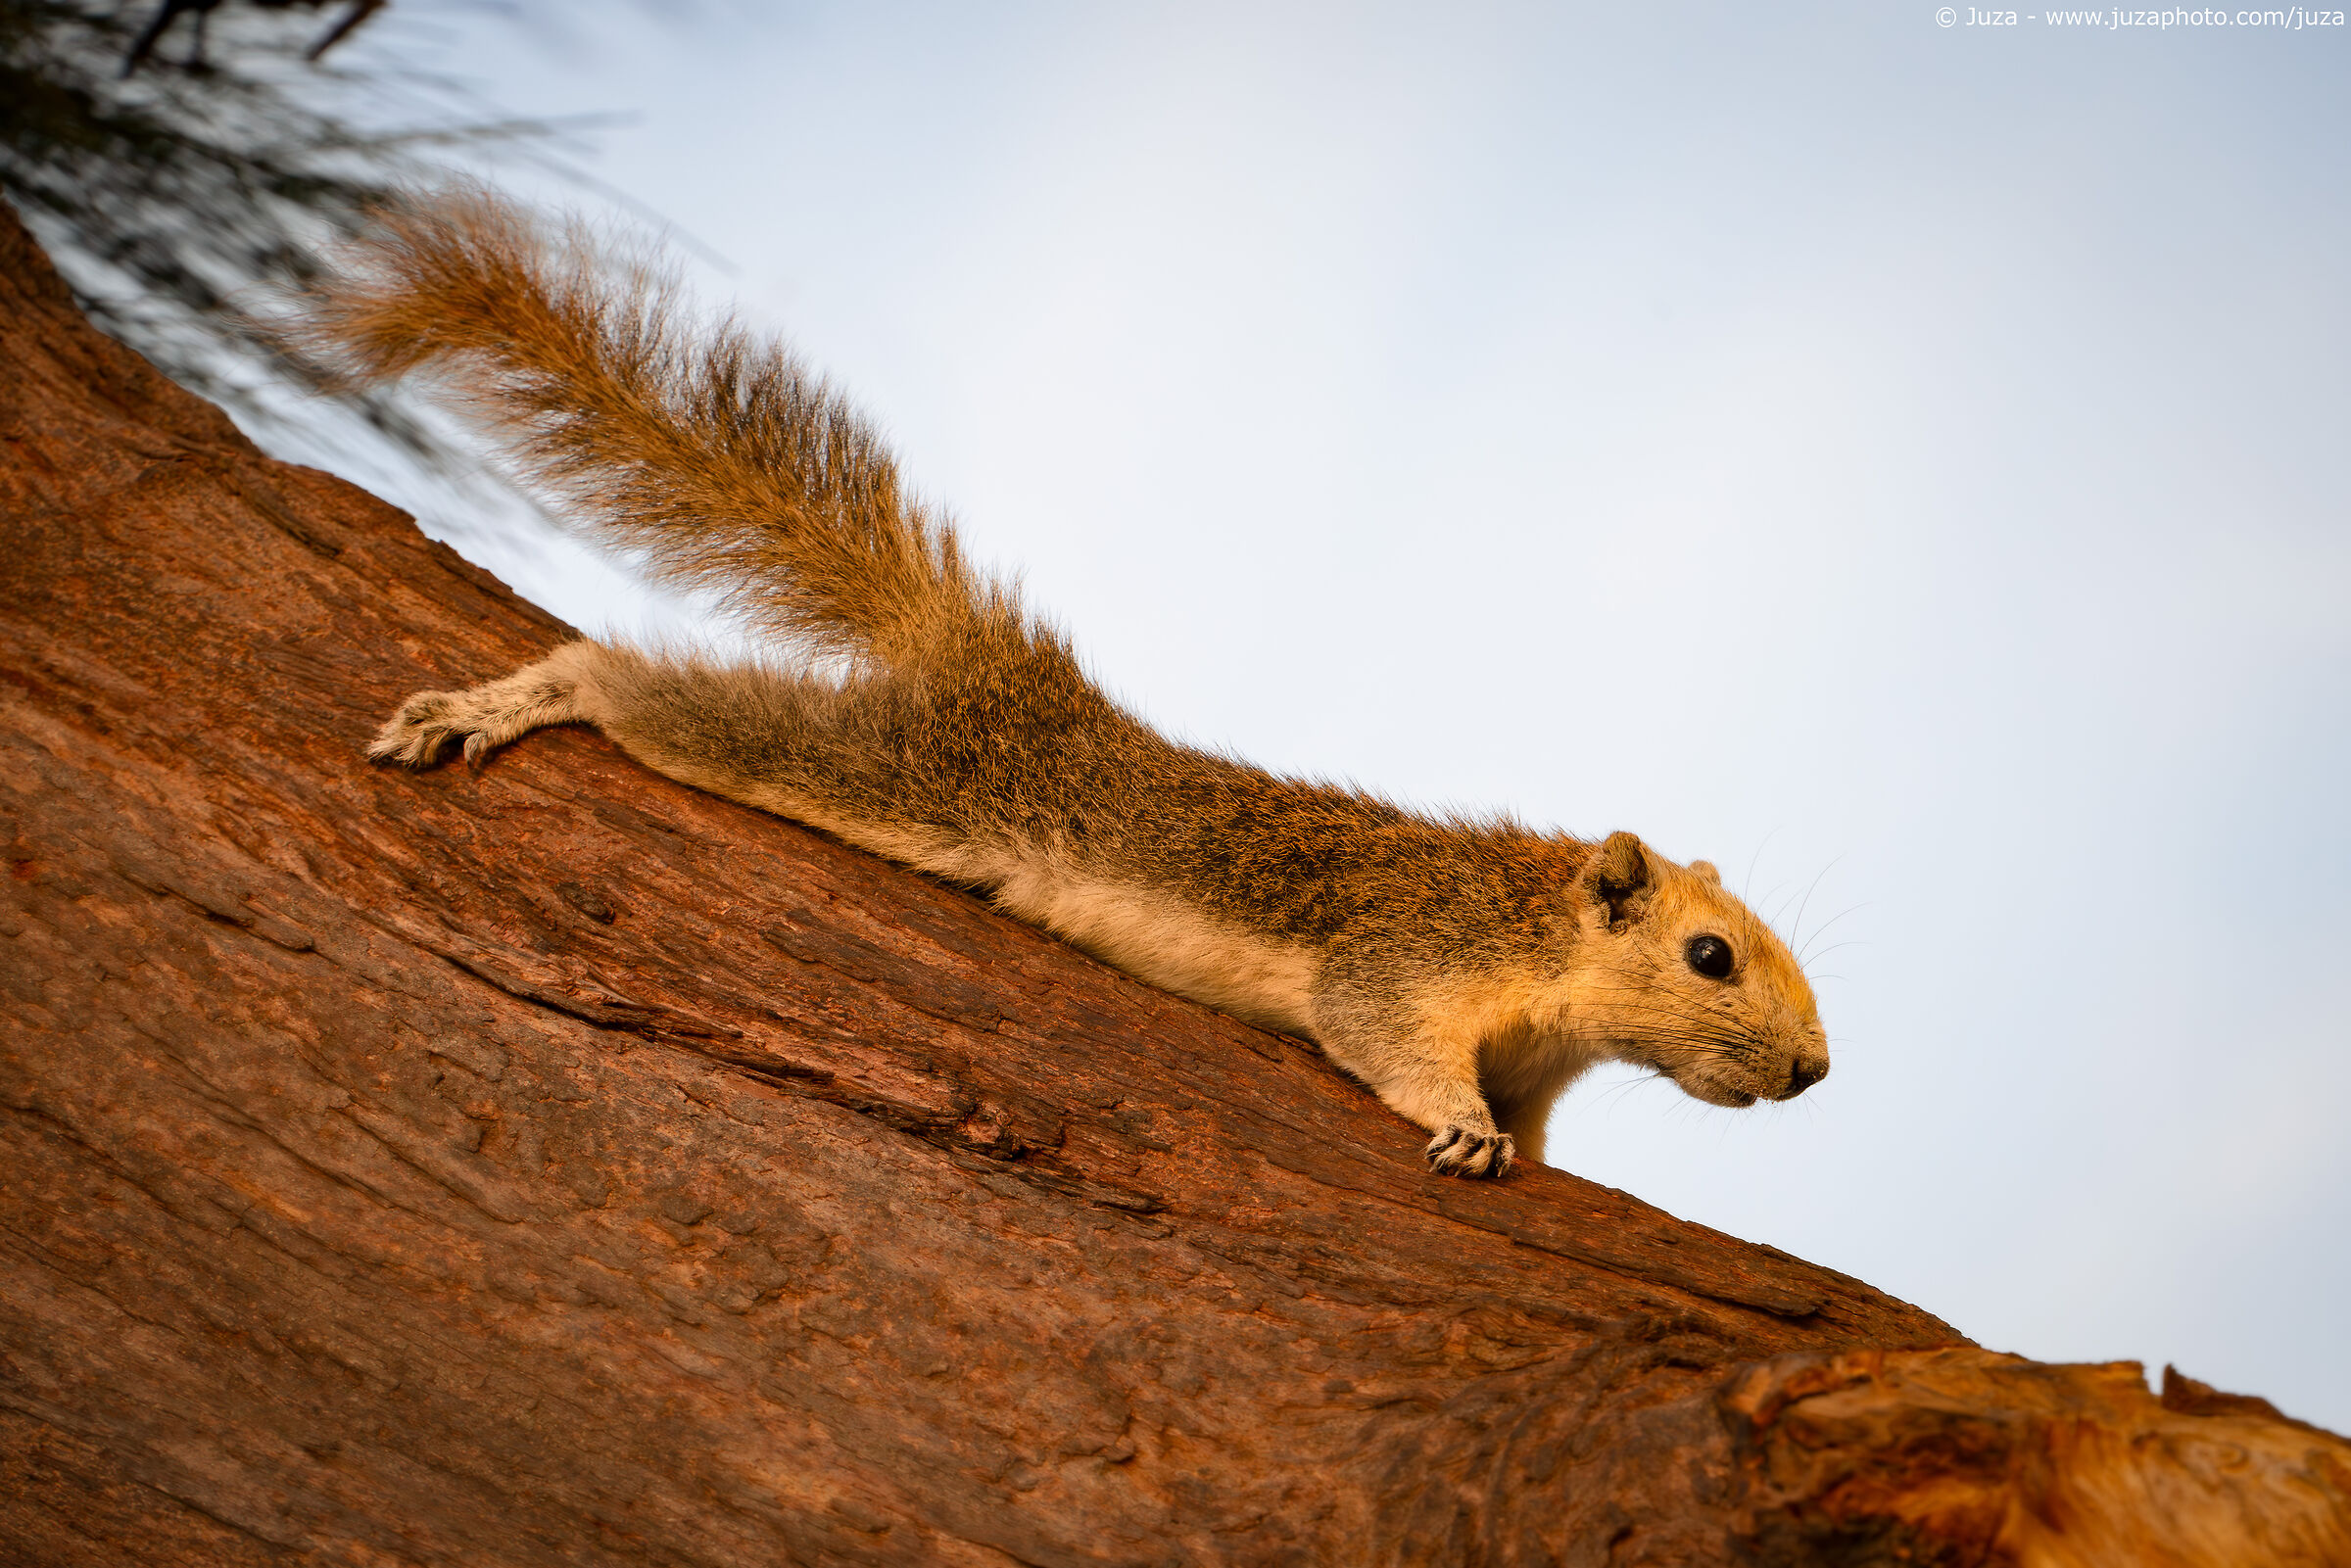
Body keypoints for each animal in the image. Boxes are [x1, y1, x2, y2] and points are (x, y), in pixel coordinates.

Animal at [297, 189, 1831, 1181]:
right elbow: (1384, 1037)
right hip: (897, 772)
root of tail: (1001, 676)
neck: (1538, 950)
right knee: (635, 687)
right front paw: (1459, 1124)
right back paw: (504, 703)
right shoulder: (1408, 952)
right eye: (1710, 955)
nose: (1816, 1072)